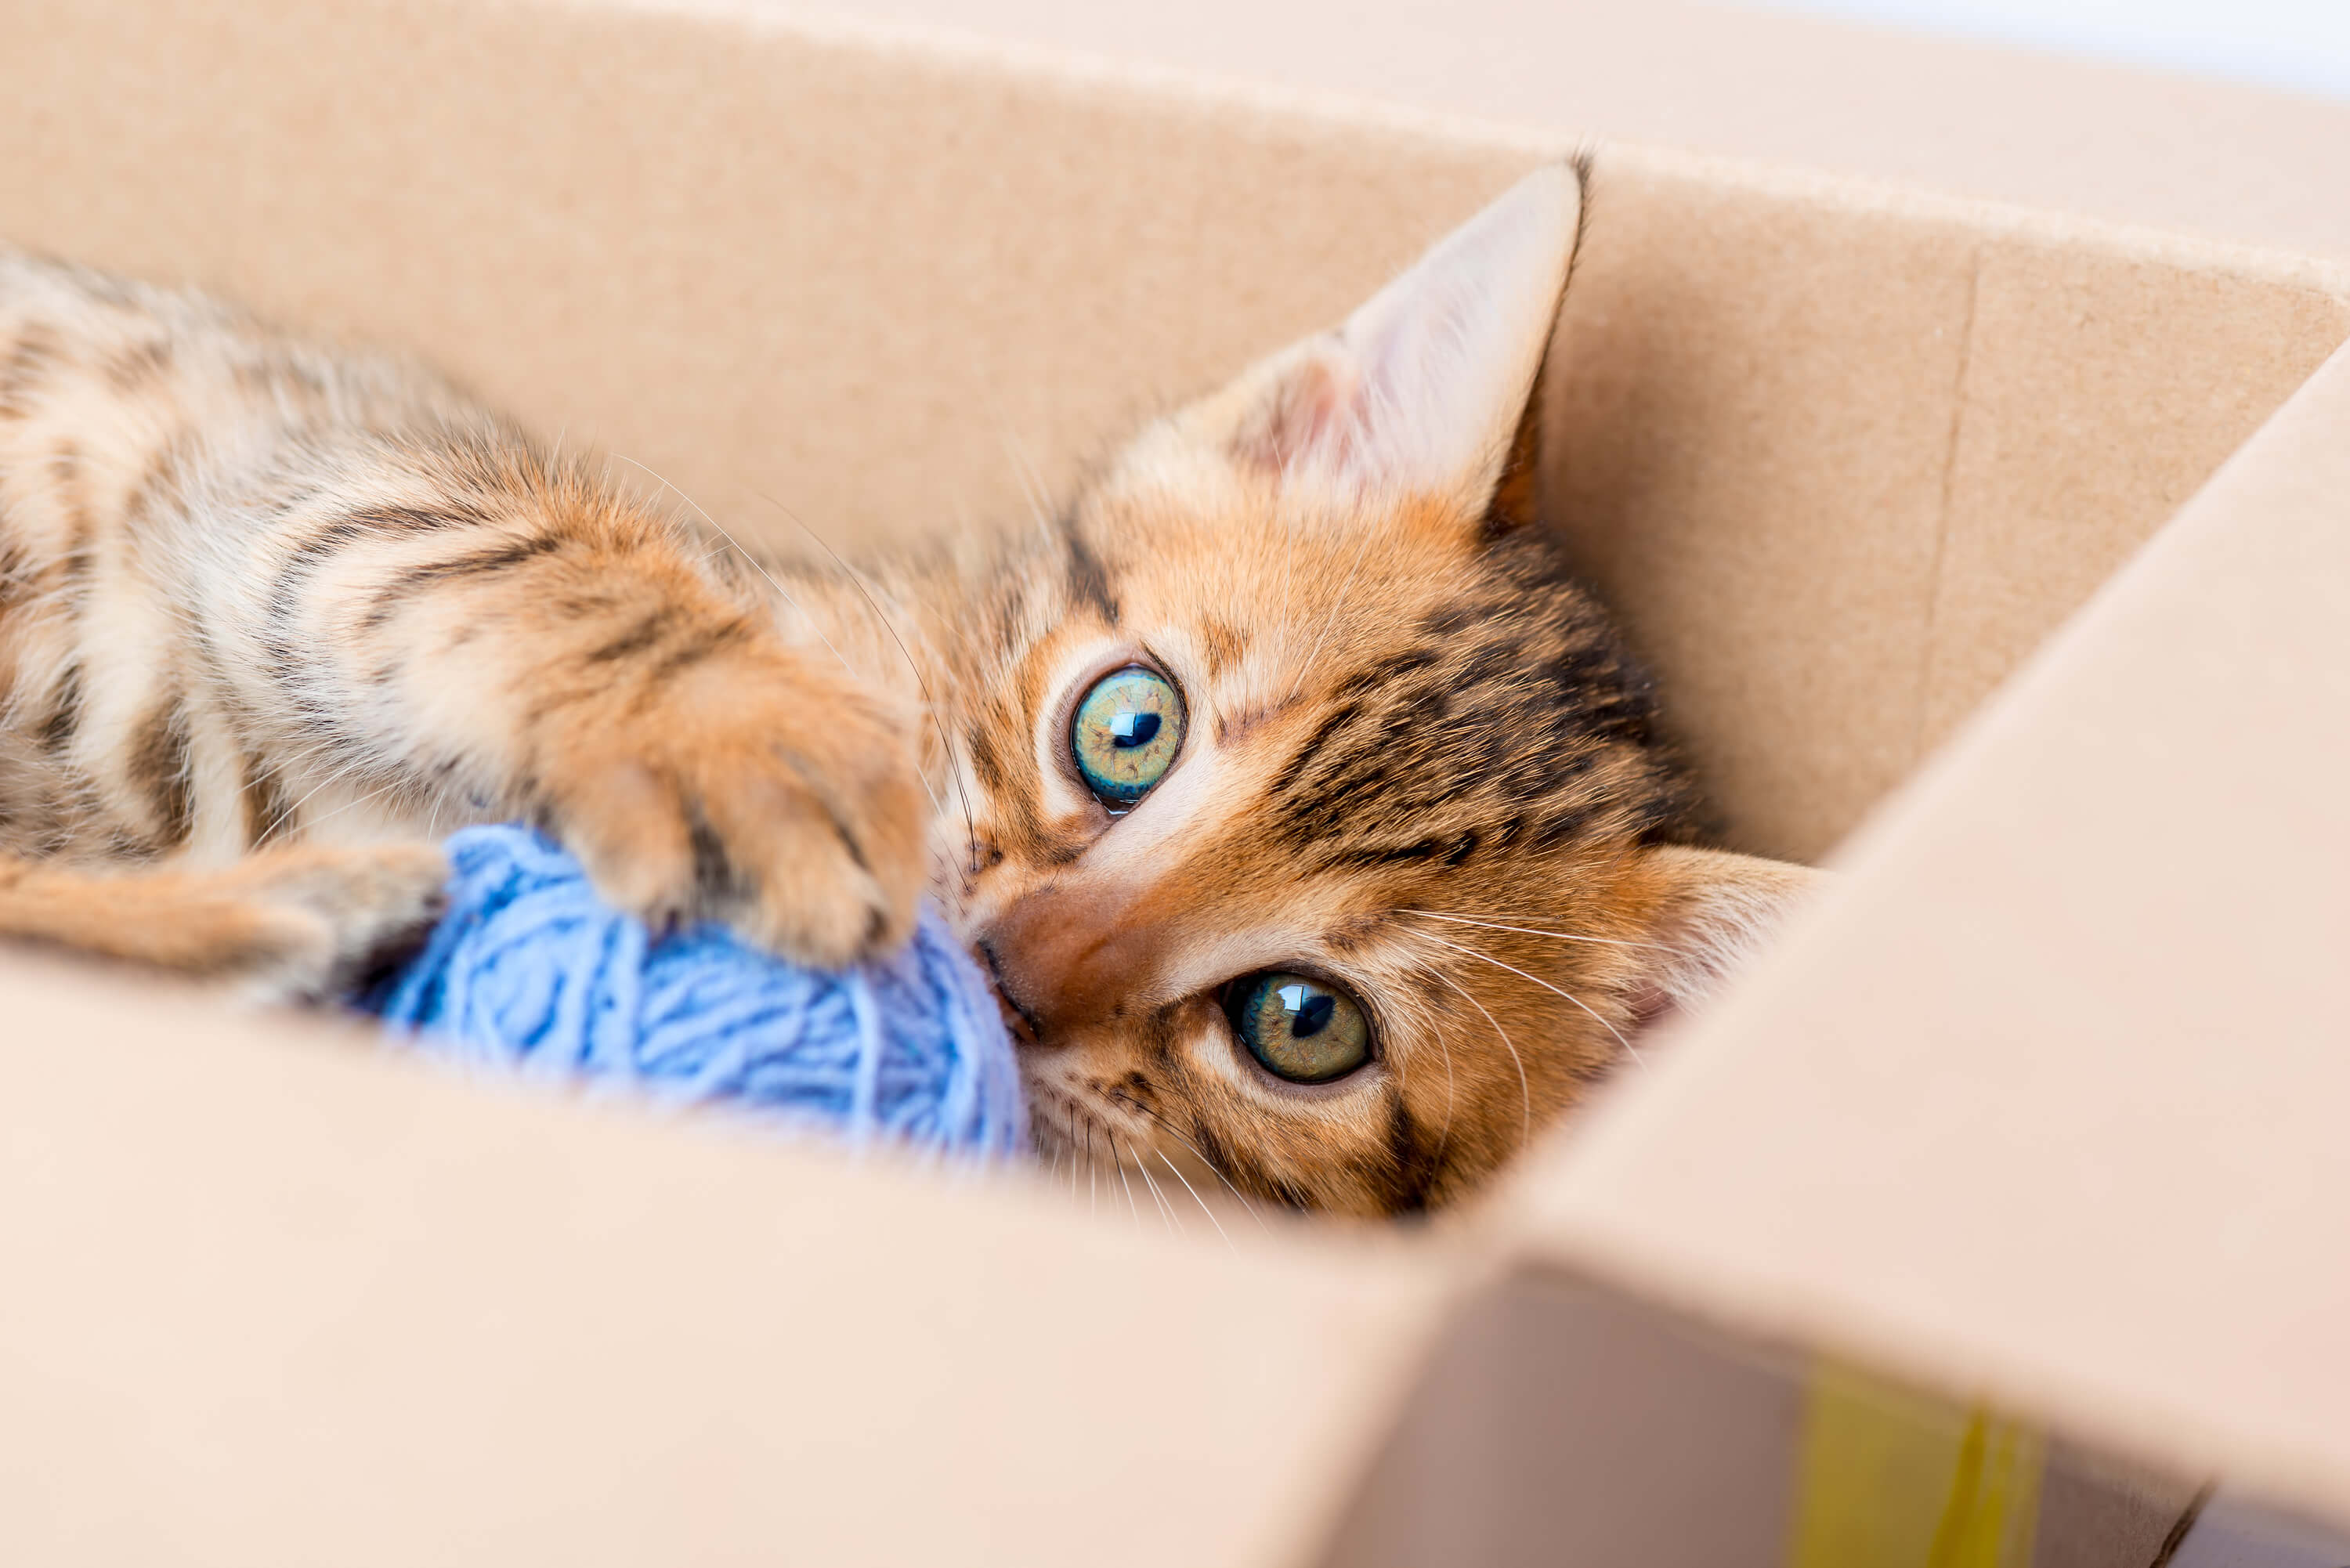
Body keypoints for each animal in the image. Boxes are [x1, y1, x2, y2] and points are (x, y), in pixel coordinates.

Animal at [0, 165, 1814, 1212]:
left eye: (1304, 1025)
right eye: (1129, 725)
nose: (1009, 967)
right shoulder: (322, 470)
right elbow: (504, 564)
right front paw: (741, 740)